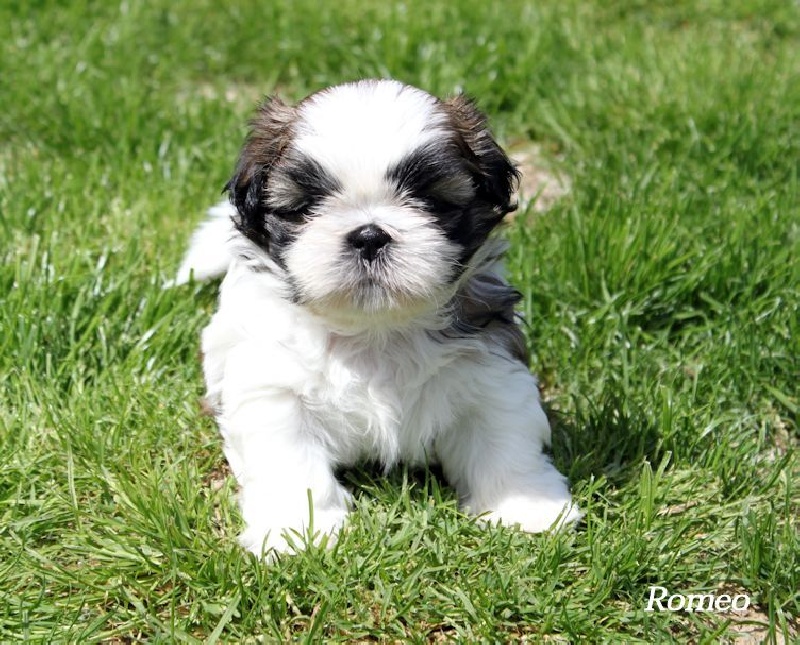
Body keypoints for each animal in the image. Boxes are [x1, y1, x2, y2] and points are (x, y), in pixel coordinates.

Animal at [176, 79, 580, 557]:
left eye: (431, 201)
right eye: (306, 206)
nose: (369, 235)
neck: (376, 330)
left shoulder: (490, 368)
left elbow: (504, 436)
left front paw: (525, 507)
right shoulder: (272, 388)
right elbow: (290, 461)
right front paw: (298, 530)